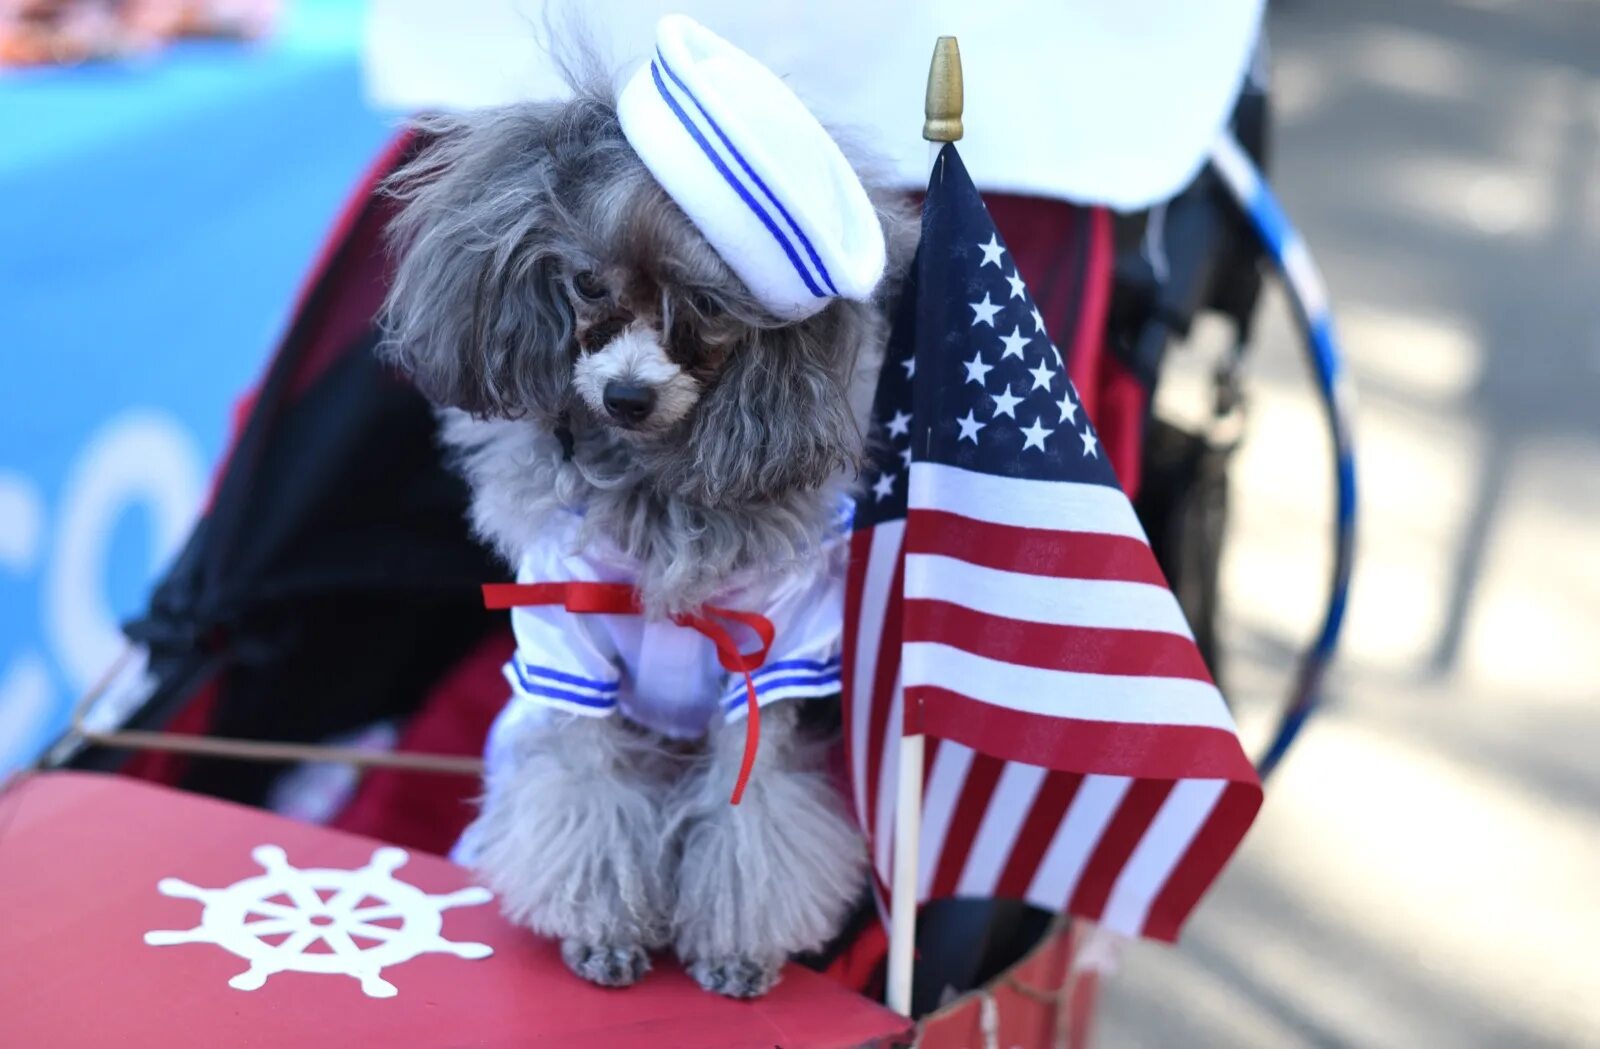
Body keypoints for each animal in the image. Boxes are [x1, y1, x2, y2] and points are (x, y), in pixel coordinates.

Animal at [372, 61, 915, 997]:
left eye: (706, 304)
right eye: (589, 283)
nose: (626, 396)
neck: (658, 485)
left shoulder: (770, 665)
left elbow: (750, 817)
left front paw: (735, 950)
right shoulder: (569, 654)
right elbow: (586, 797)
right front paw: (602, 933)